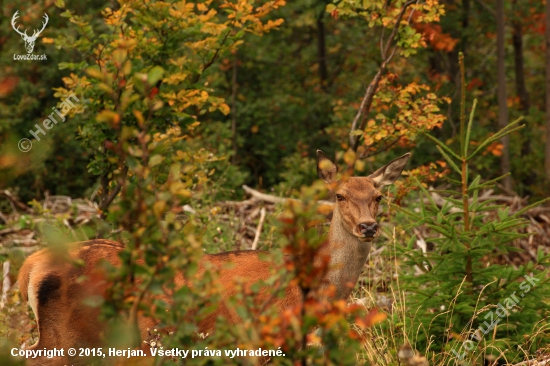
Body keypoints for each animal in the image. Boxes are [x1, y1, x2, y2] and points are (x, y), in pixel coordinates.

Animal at [17, 150, 412, 364]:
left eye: (378, 195)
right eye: (340, 195)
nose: (368, 226)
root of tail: (30, 265)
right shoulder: (260, 337)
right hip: (70, 337)